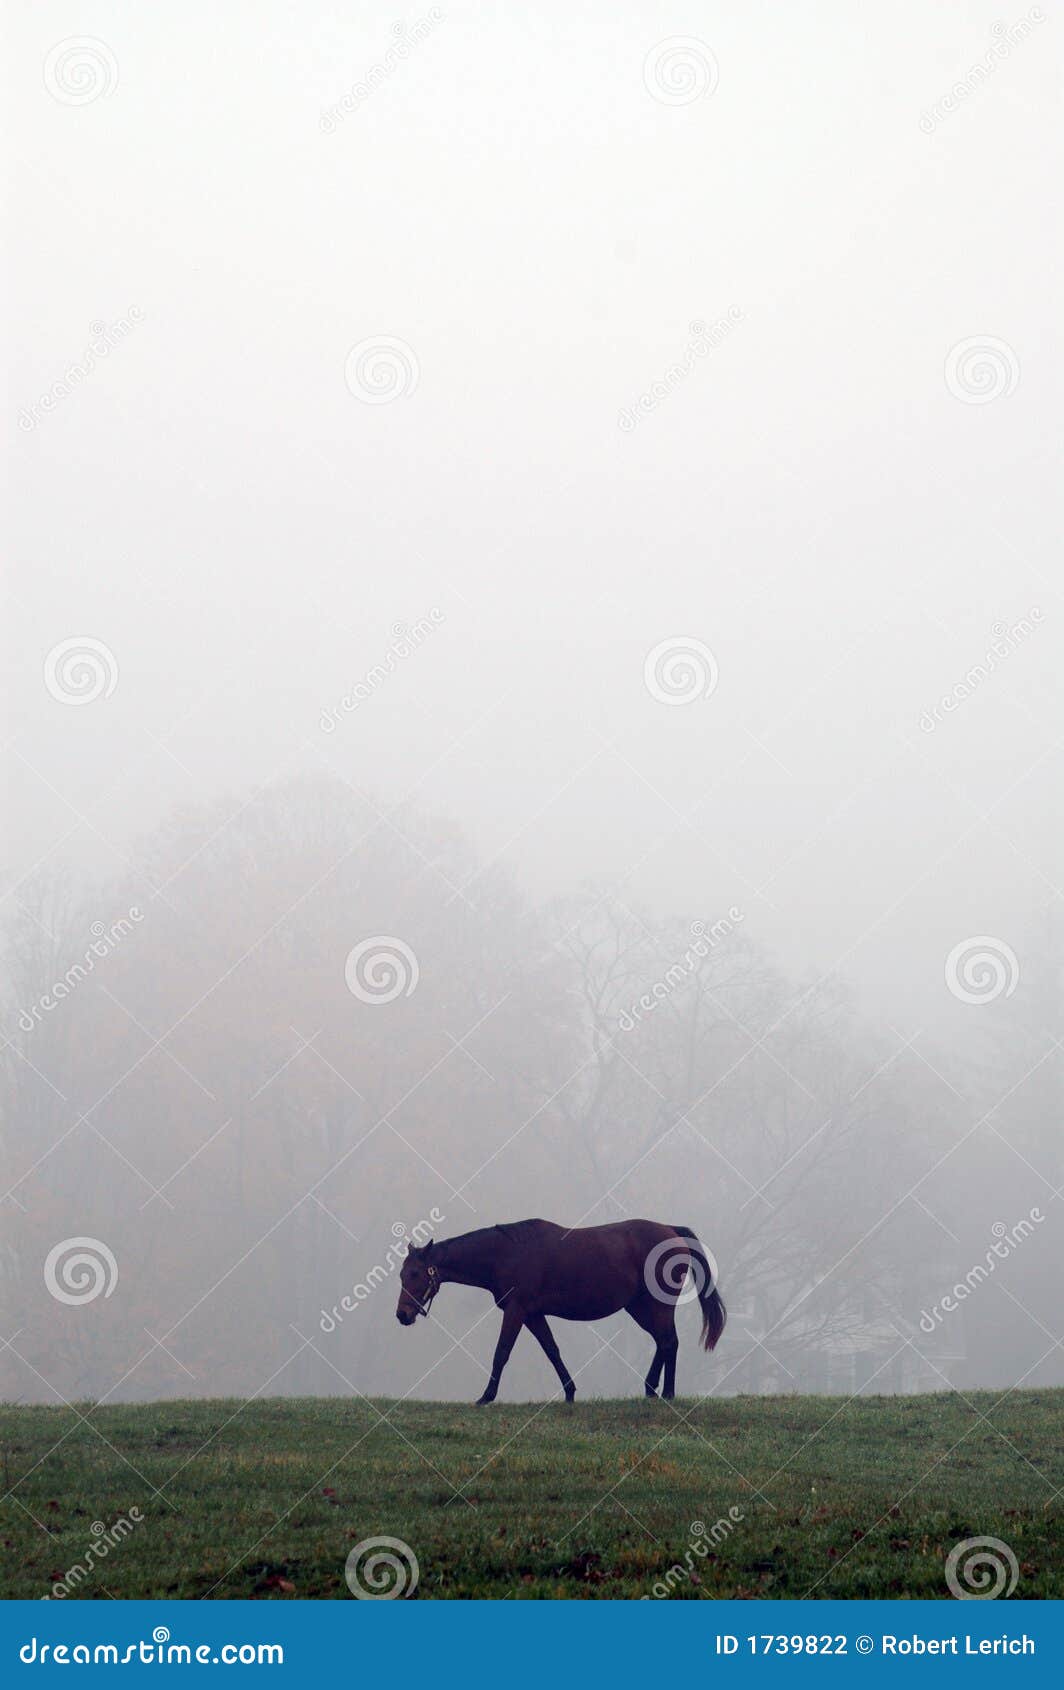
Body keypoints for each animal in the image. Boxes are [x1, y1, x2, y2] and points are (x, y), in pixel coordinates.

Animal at [395, 1217, 725, 1404]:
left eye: (414, 1273)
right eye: (401, 1274)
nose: (402, 1314)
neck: (505, 1253)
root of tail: (672, 1232)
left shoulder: (515, 1311)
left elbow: (501, 1352)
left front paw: (486, 1397)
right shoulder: (533, 1314)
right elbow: (552, 1350)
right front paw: (569, 1392)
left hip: (654, 1306)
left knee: (669, 1341)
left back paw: (665, 1392)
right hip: (640, 1307)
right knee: (664, 1342)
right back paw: (653, 1390)